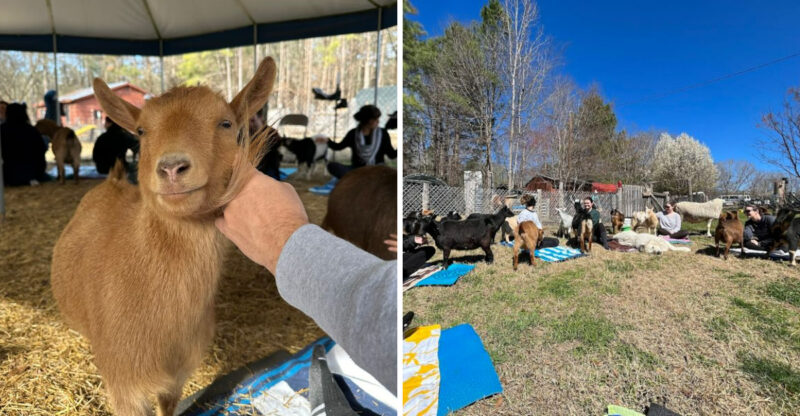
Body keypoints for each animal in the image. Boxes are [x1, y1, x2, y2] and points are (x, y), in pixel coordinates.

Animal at [50, 58, 276, 416]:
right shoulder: (124, 385)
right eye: (142, 130)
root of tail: (113, 181)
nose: (172, 168)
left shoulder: (177, 376)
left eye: (225, 123)